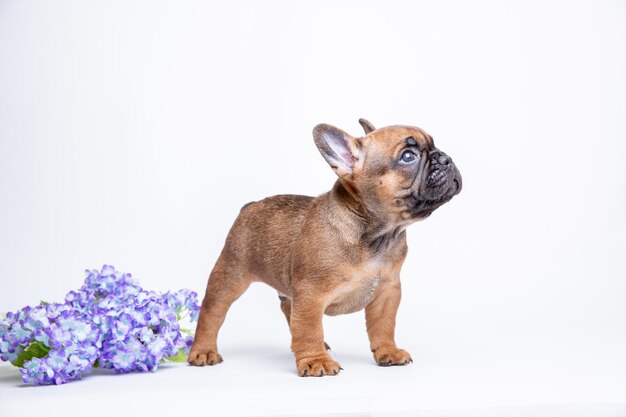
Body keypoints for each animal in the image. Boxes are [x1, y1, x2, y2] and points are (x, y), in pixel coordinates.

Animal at [188, 118, 460, 376]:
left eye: (434, 145)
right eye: (408, 156)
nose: (445, 158)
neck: (376, 234)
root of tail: (250, 206)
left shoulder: (387, 292)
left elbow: (383, 325)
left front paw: (388, 351)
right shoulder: (310, 295)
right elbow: (309, 328)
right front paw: (315, 360)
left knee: (288, 307)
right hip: (231, 274)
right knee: (212, 313)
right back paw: (203, 351)